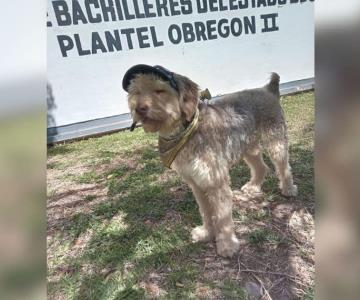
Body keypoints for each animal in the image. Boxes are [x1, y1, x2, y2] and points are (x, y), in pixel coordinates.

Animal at [122, 65, 296, 258]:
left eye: (159, 90)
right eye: (136, 92)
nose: (139, 109)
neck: (187, 130)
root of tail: (268, 89)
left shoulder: (215, 182)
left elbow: (222, 216)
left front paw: (227, 245)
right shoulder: (196, 183)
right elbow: (205, 211)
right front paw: (206, 233)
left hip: (275, 142)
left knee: (284, 167)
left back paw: (288, 189)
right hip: (248, 147)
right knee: (261, 167)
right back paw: (253, 187)